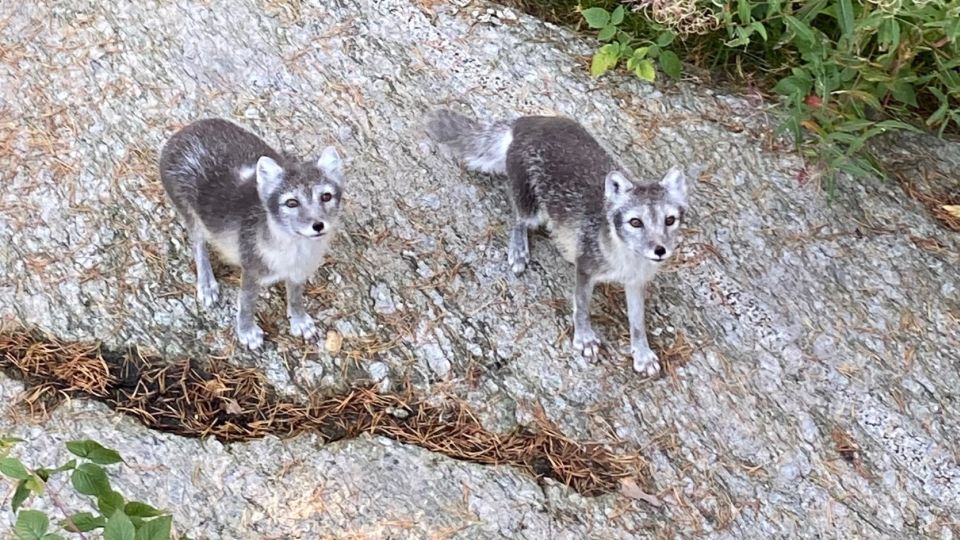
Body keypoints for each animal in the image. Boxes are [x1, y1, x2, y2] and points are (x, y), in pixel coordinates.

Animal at [160, 118, 344, 350]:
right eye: (291, 202)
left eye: (326, 196)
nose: (318, 225)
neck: (295, 251)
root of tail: (184, 131)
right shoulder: (251, 269)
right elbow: (246, 303)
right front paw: (247, 332)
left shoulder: (298, 272)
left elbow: (295, 297)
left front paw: (299, 321)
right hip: (190, 214)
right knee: (198, 244)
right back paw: (207, 284)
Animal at [424, 109, 692, 376]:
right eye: (635, 222)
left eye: (670, 220)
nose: (660, 250)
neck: (626, 261)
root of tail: (524, 122)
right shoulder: (585, 268)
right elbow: (581, 307)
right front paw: (584, 338)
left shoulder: (636, 283)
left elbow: (638, 322)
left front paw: (642, 353)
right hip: (532, 208)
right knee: (518, 219)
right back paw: (519, 250)